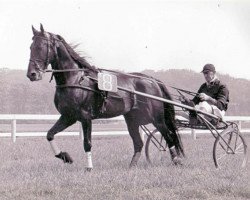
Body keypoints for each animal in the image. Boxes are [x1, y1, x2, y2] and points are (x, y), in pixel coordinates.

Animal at [26, 24, 184, 170]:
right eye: (31, 47)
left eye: (41, 46)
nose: (32, 74)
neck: (75, 79)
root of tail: (152, 80)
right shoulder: (68, 116)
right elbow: (50, 134)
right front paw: (65, 156)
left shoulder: (85, 117)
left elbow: (87, 143)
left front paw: (89, 168)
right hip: (132, 119)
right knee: (139, 142)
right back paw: (132, 166)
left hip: (156, 118)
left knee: (169, 136)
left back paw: (177, 161)